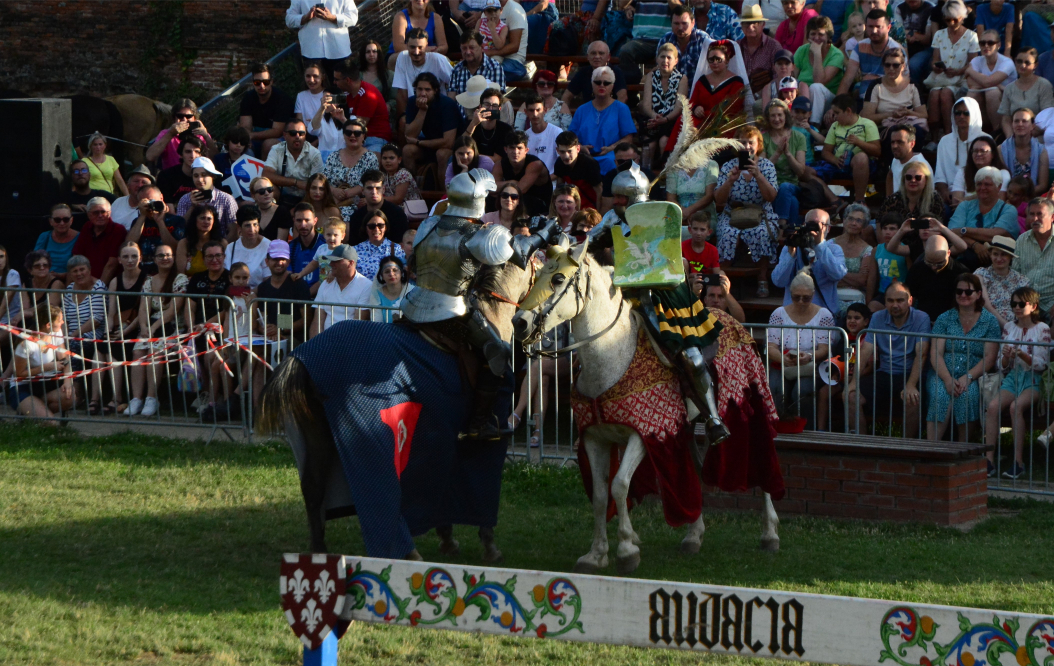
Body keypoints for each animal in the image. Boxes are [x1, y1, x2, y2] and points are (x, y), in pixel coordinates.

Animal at [256, 262, 535, 560]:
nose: (526, 324)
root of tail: (300, 357)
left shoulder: (440, 436)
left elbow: (440, 486)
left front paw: (447, 538)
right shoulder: (479, 440)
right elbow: (478, 490)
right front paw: (488, 545)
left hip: (317, 436)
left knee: (313, 488)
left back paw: (319, 552)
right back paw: (407, 553)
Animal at [512, 242, 784, 573]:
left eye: (559, 279)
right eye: (538, 274)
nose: (519, 322)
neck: (610, 355)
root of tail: (736, 323)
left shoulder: (644, 434)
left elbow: (619, 485)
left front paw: (627, 551)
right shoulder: (595, 437)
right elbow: (600, 494)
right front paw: (596, 554)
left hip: (750, 403)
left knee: (762, 456)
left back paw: (770, 534)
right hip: (688, 426)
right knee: (695, 469)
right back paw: (693, 535)